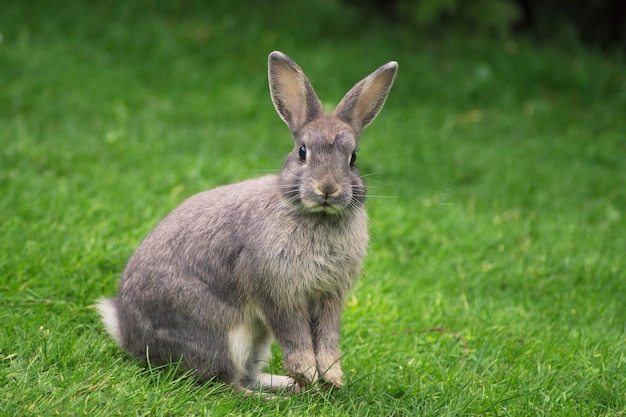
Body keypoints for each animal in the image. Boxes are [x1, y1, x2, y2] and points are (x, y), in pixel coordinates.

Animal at [98, 49, 394, 394]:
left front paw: (332, 377)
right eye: (302, 151)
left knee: (246, 376)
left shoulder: (330, 297)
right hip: (222, 335)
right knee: (228, 385)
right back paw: (279, 394)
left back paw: (284, 385)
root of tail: (130, 336)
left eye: (353, 158)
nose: (328, 188)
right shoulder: (277, 292)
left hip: (257, 338)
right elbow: (295, 335)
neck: (316, 217)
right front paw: (309, 373)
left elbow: (328, 337)